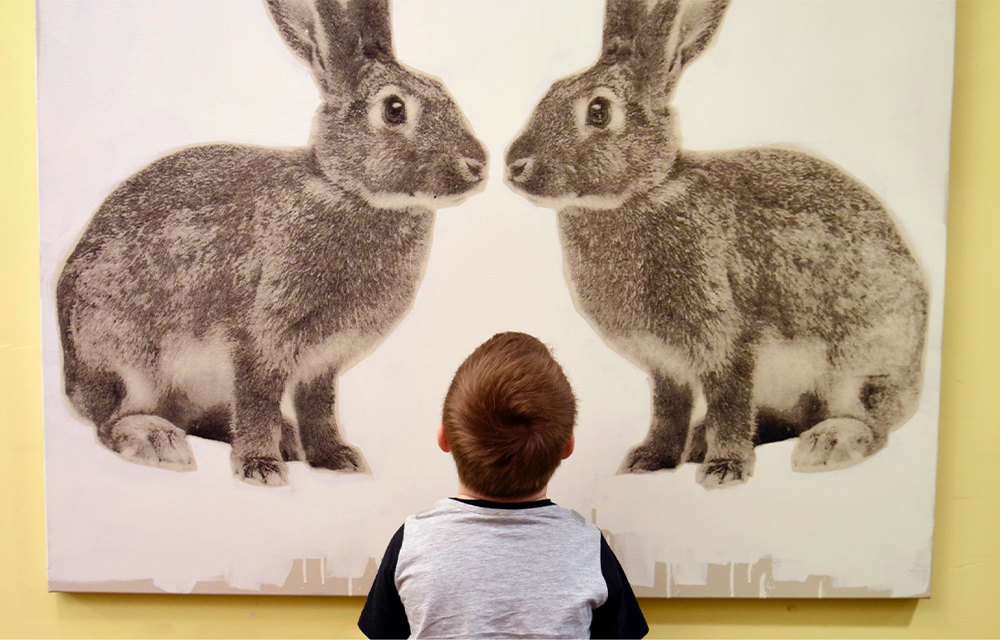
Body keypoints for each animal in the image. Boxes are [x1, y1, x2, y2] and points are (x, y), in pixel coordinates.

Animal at [57, 0, 488, 484]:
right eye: (394, 109)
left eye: (443, 89)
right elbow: (258, 401)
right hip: (123, 361)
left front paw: (338, 459)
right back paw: (158, 442)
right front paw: (260, 469)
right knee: (110, 421)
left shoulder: (322, 362)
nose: (478, 164)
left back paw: (286, 440)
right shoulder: (261, 338)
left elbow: (319, 408)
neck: (345, 189)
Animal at [508, 0, 928, 488]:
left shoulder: (726, 341)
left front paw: (724, 471)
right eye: (551, 90)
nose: (515, 165)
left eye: (598, 111)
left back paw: (826, 445)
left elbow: (729, 404)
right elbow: (668, 411)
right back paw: (698, 441)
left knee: (871, 424)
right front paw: (647, 461)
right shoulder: (665, 365)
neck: (644, 193)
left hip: (861, 370)